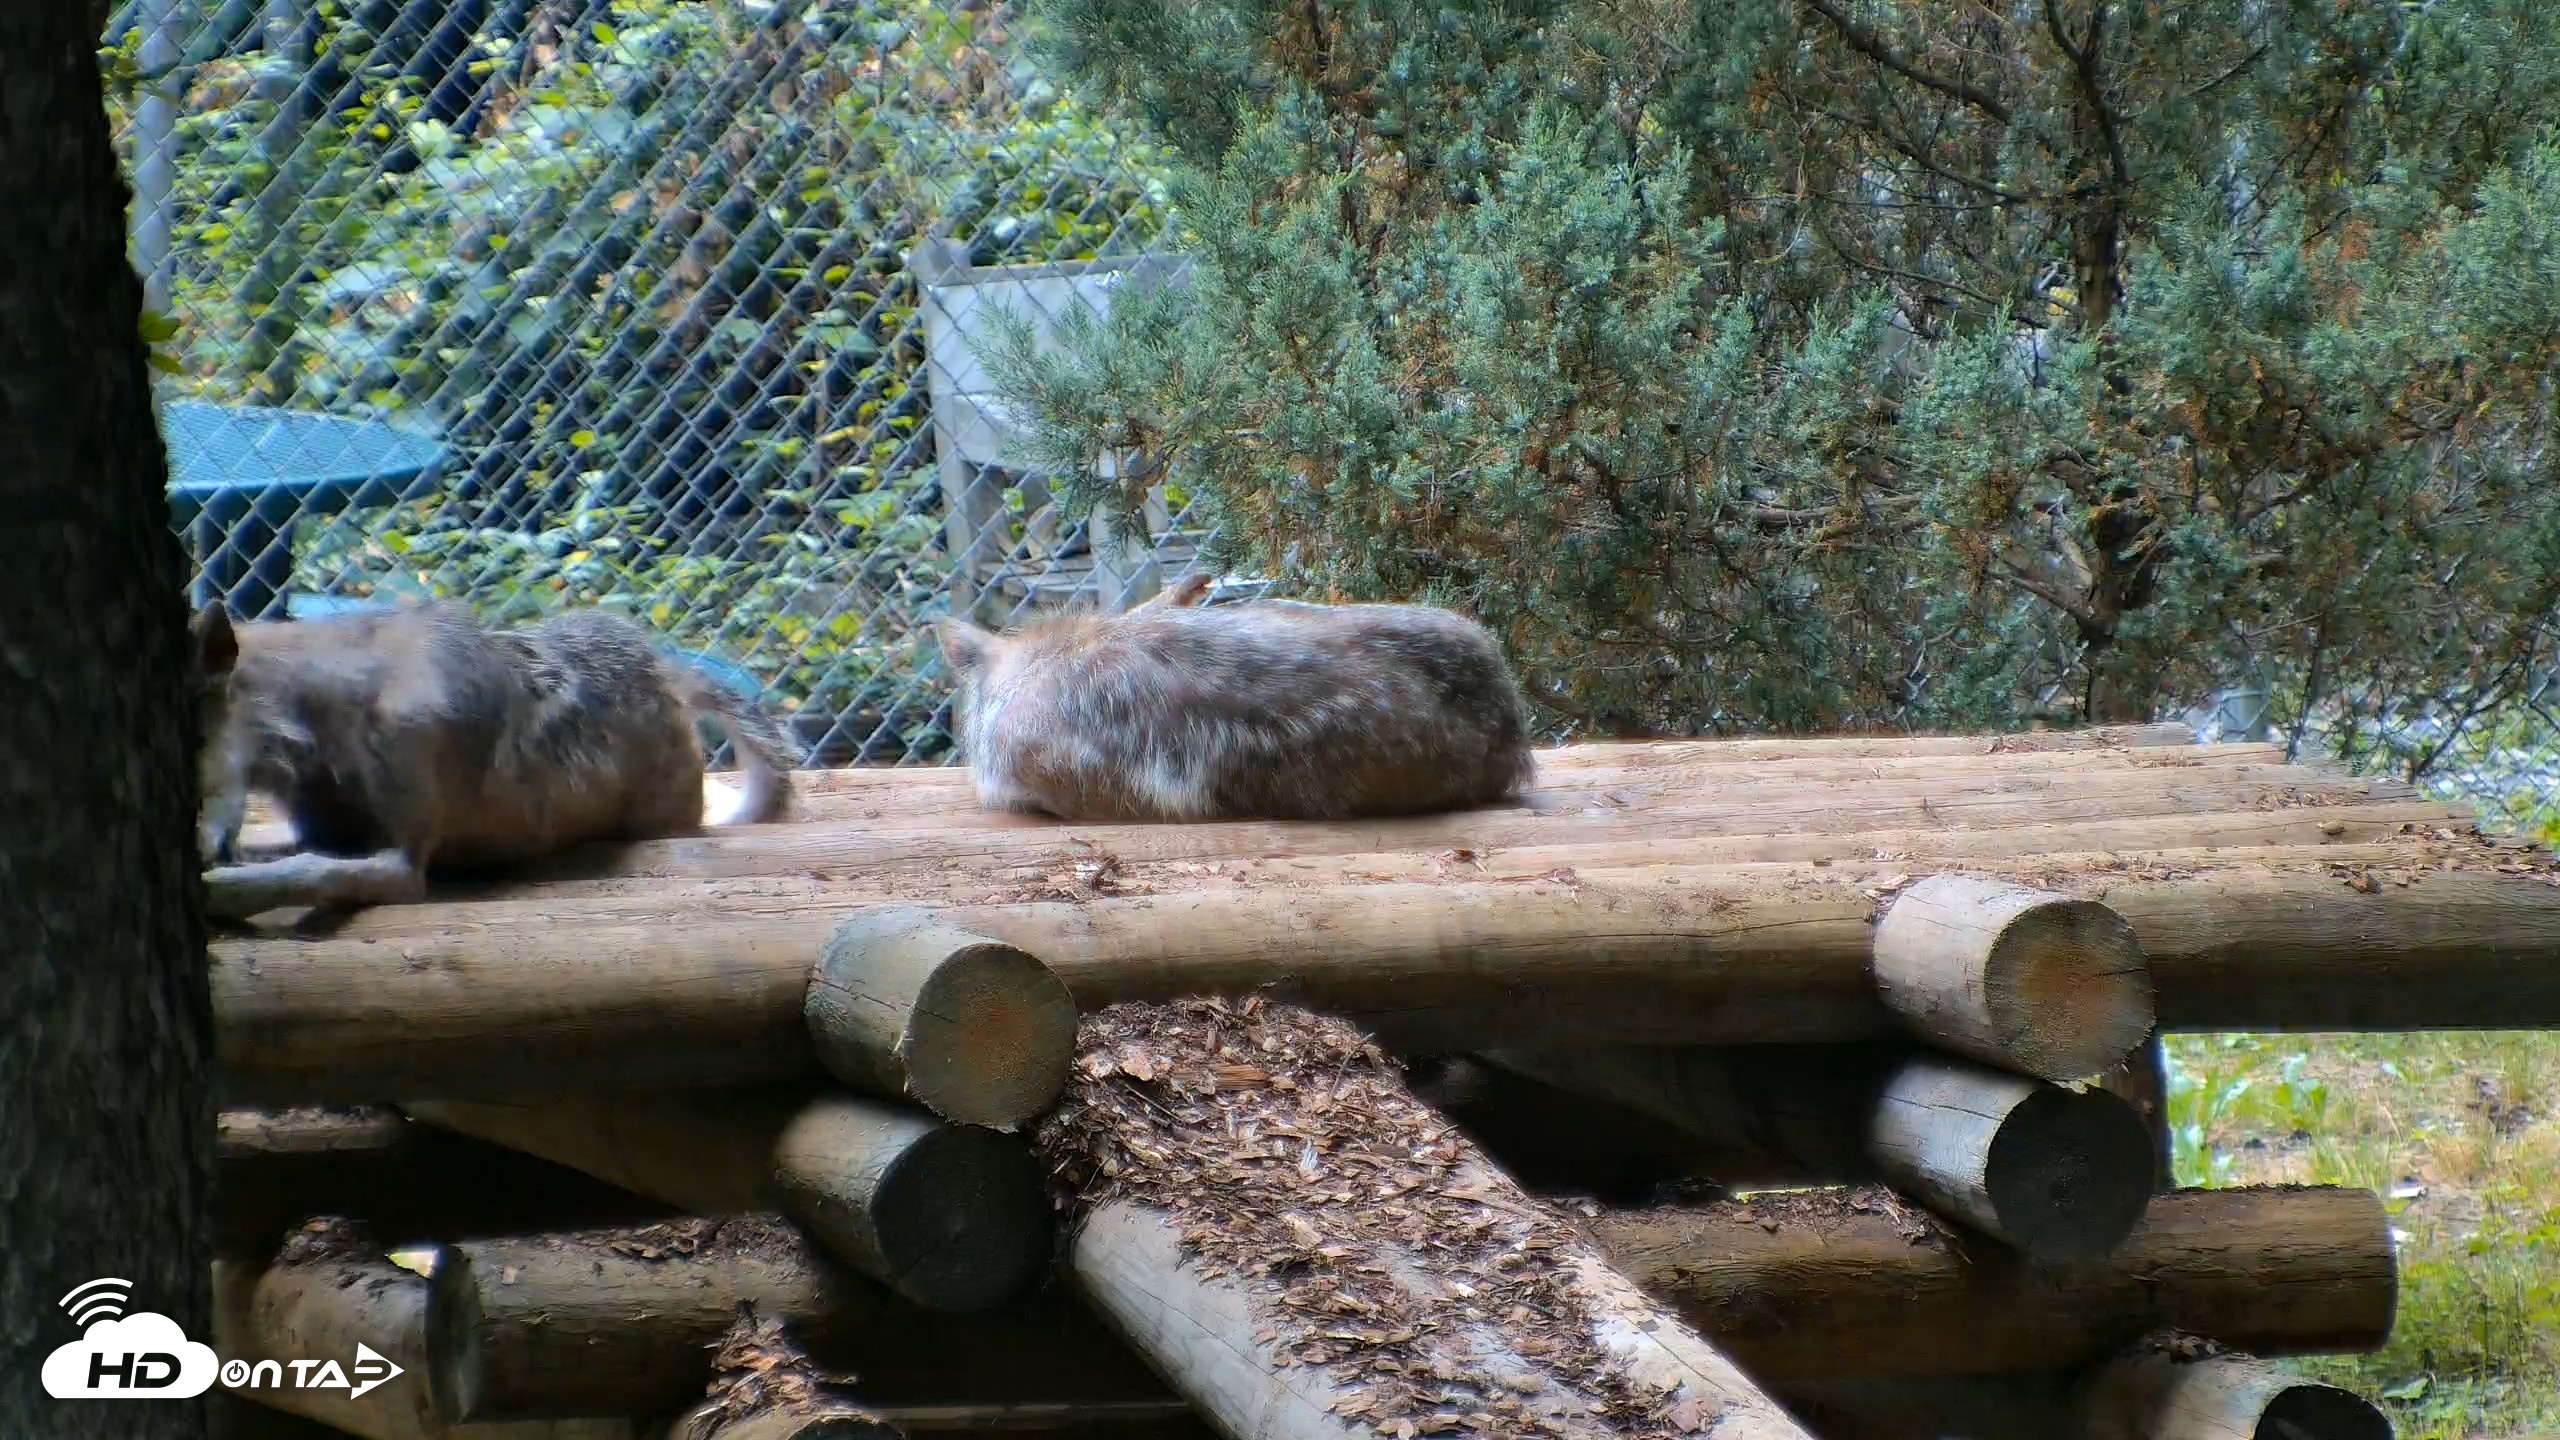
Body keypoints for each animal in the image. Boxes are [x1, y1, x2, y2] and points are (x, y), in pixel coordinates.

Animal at [191, 600, 798, 919]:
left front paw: (216, 896)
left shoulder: (403, 864)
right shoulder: (323, 829)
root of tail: (662, 667)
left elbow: (306, 870)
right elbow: (290, 857)